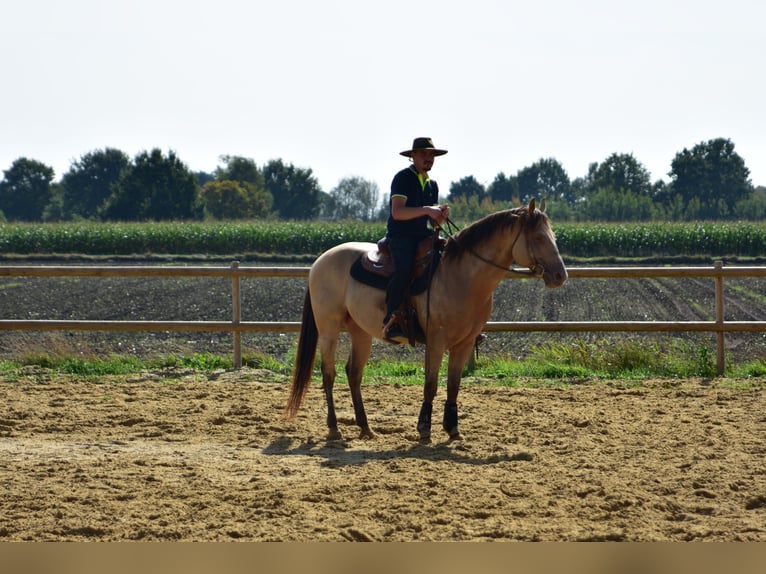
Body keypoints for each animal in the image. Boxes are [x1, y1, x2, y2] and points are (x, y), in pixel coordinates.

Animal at [285, 199, 567, 442]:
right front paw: (424, 428)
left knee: (354, 374)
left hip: (361, 332)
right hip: (328, 329)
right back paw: (334, 428)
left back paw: (365, 427)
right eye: (539, 237)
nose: (560, 276)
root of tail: (320, 261)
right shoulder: (436, 341)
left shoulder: (464, 343)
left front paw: (453, 429)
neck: (461, 276)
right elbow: (430, 385)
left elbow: (454, 385)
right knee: (328, 374)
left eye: (554, 236)